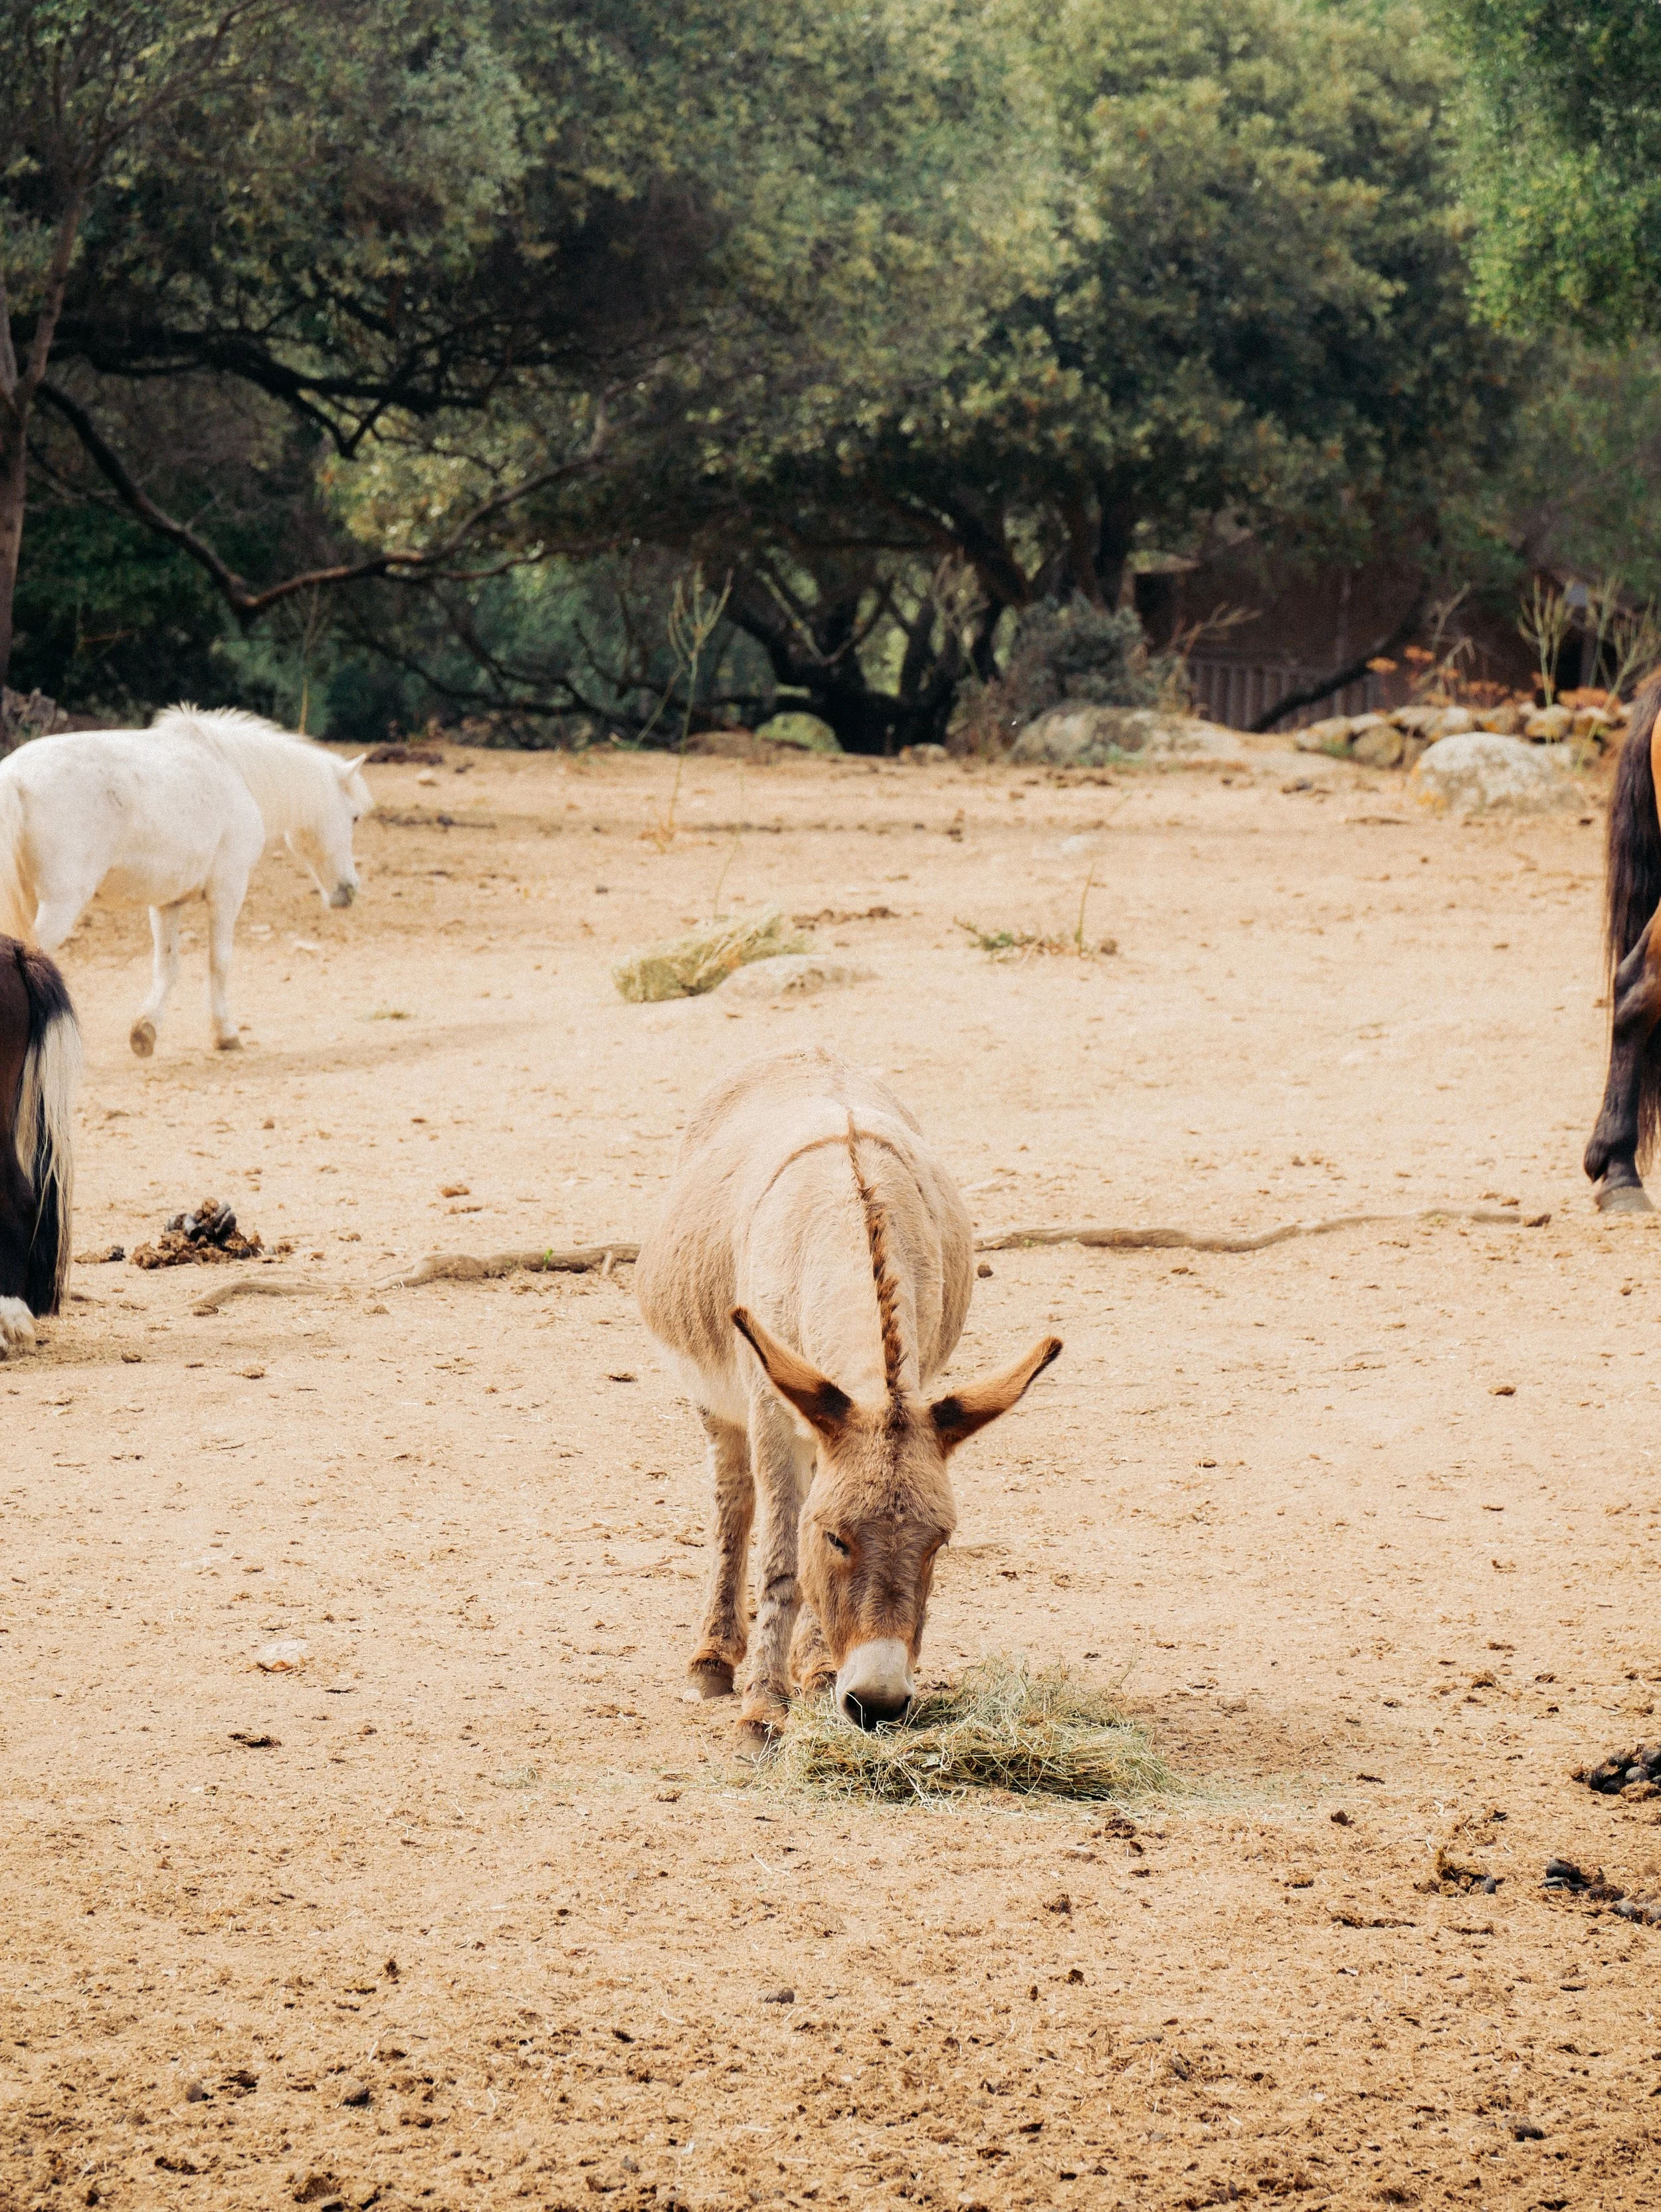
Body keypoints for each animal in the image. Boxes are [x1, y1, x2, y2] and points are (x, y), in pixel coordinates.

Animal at [0, 705, 369, 1056]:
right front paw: (226, 1034)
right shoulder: (228, 892)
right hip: (59, 907)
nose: (350, 889)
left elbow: (168, 967)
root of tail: (15, 778)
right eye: (354, 817)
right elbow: (219, 962)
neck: (233, 768)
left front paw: (145, 1032)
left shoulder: (166, 903)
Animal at [636, 1046, 1061, 1744]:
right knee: (735, 1503)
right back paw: (714, 1657)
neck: (849, 1212)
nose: (878, 1704)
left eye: (939, 1542)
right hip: (721, 1405)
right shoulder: (771, 1410)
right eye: (835, 1537)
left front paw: (813, 1677)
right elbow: (782, 1560)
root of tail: (804, 1050)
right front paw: (762, 1711)